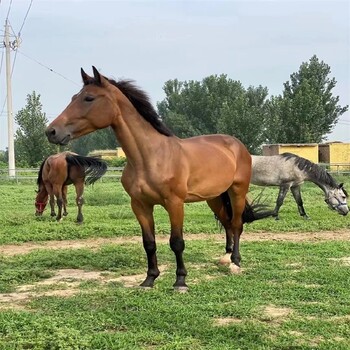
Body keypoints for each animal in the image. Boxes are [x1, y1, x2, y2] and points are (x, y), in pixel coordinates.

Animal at [44, 66, 274, 290]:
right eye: (74, 97)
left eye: (89, 98)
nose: (52, 131)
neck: (151, 157)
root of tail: (237, 145)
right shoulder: (140, 205)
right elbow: (149, 243)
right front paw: (149, 279)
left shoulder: (175, 203)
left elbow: (177, 242)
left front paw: (180, 281)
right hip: (215, 197)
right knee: (227, 223)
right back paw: (225, 258)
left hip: (237, 191)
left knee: (236, 224)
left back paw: (235, 262)